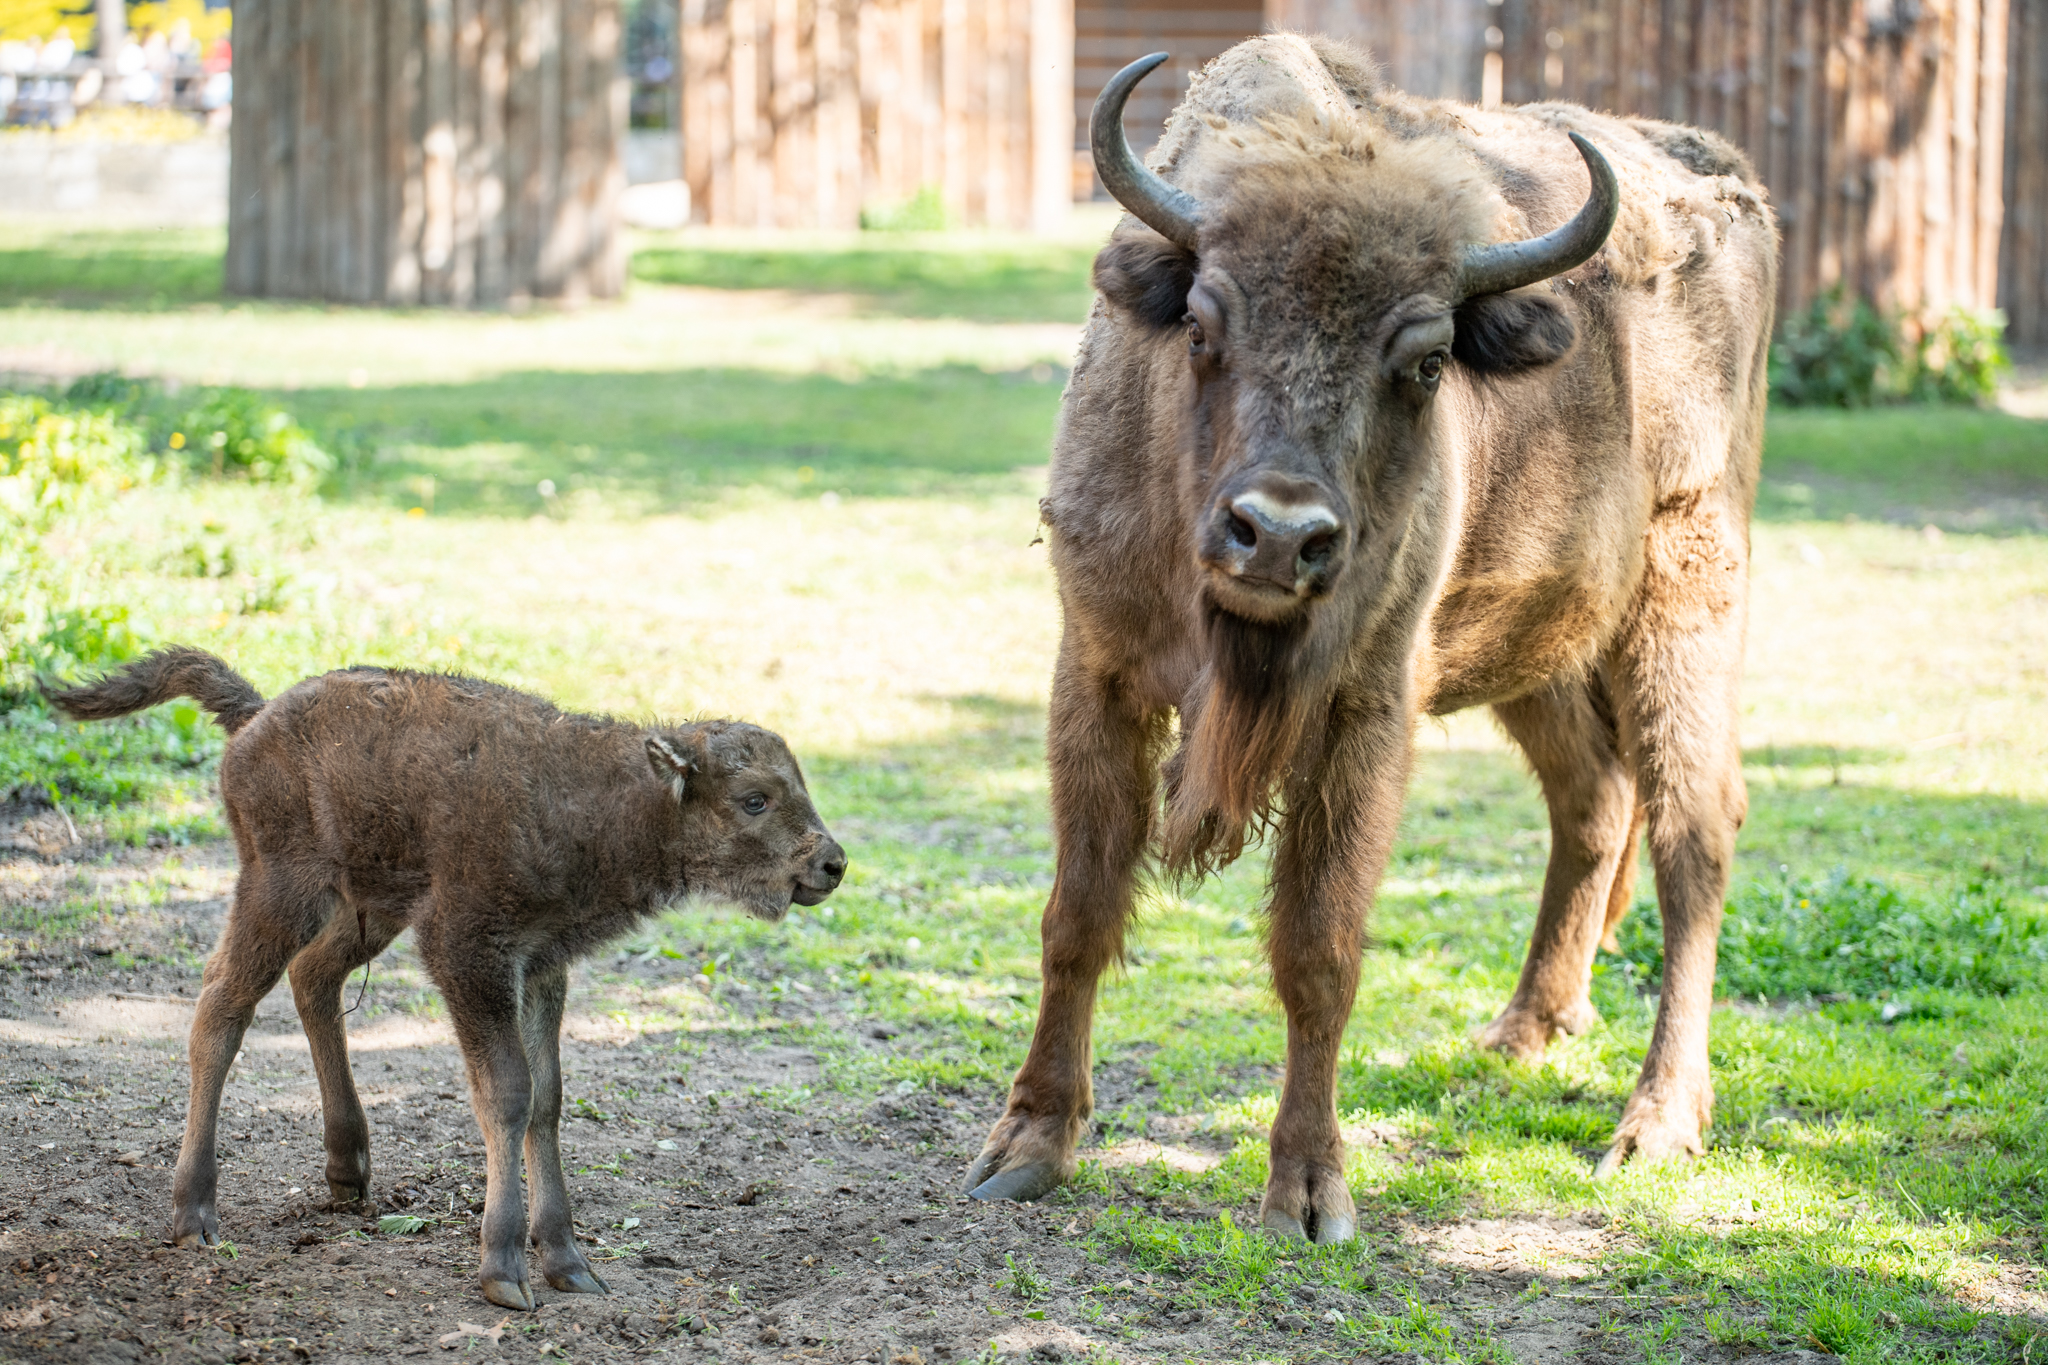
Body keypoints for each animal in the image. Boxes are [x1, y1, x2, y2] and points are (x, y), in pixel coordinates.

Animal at [49, 650, 847, 1309]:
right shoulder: (468, 952)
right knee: (221, 1009)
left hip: (371, 907)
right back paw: (195, 1217)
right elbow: (508, 1092)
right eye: (754, 798)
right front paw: (505, 1271)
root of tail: (256, 715)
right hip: (282, 888)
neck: (603, 797)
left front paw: (570, 1263)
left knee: (313, 979)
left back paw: (348, 1170)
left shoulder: (541, 964)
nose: (831, 863)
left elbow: (549, 1098)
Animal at [962, 34, 1777, 1236]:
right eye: (1199, 326)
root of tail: (1721, 179)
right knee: (1592, 800)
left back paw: (1655, 1126)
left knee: (1691, 833)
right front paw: (1026, 1145)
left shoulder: (1364, 708)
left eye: (1427, 364)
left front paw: (1307, 1193)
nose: (1277, 535)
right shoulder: (1098, 673)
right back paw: (1522, 1030)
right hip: (1535, 651)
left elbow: (1319, 950)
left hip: (1688, 591)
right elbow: (1079, 912)